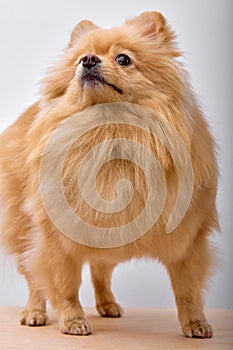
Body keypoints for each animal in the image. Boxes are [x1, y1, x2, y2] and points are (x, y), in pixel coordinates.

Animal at [0, 11, 218, 340]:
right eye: (81, 57)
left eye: (123, 59)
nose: (88, 59)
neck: (109, 131)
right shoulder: (55, 237)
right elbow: (64, 284)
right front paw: (72, 321)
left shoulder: (189, 239)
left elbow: (188, 290)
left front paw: (195, 323)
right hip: (24, 228)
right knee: (34, 278)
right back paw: (35, 312)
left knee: (100, 269)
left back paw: (108, 305)